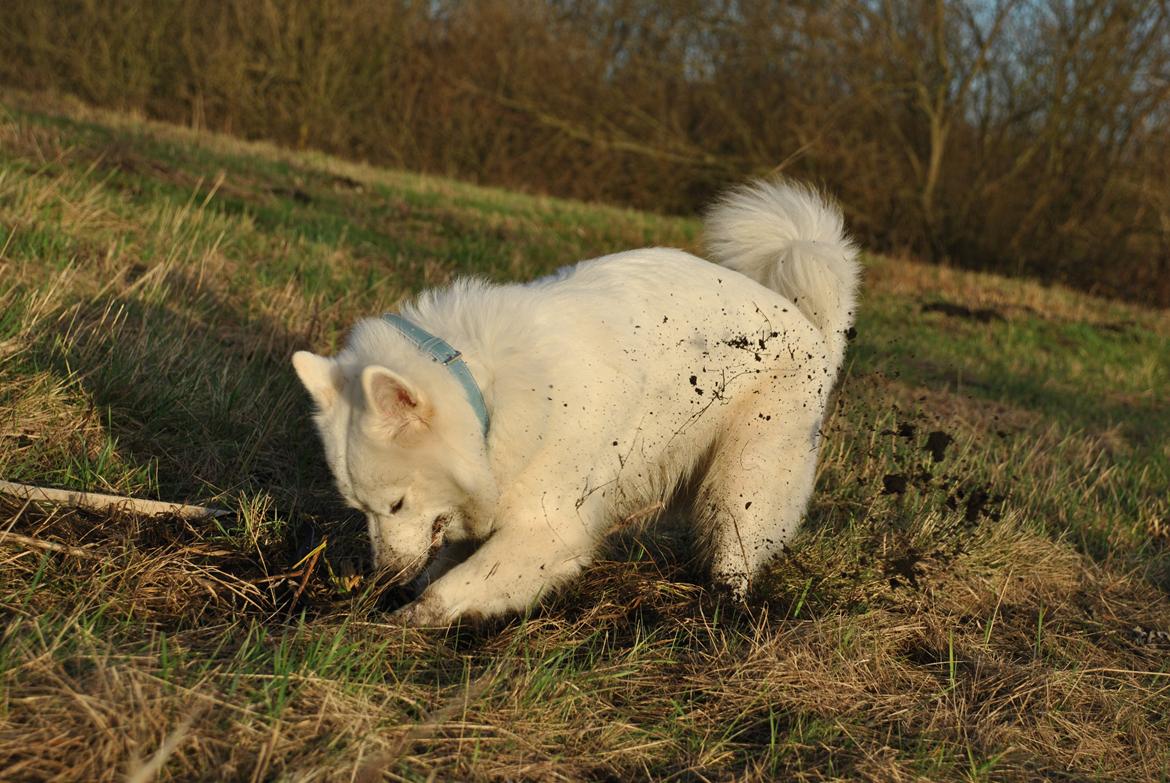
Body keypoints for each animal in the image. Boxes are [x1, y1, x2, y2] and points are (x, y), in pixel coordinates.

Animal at [292, 179, 861, 622]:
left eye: (396, 504)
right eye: (358, 508)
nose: (384, 578)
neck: (488, 397)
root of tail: (811, 326)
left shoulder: (549, 531)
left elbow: (456, 587)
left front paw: (404, 621)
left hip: (742, 476)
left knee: (736, 550)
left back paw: (725, 611)